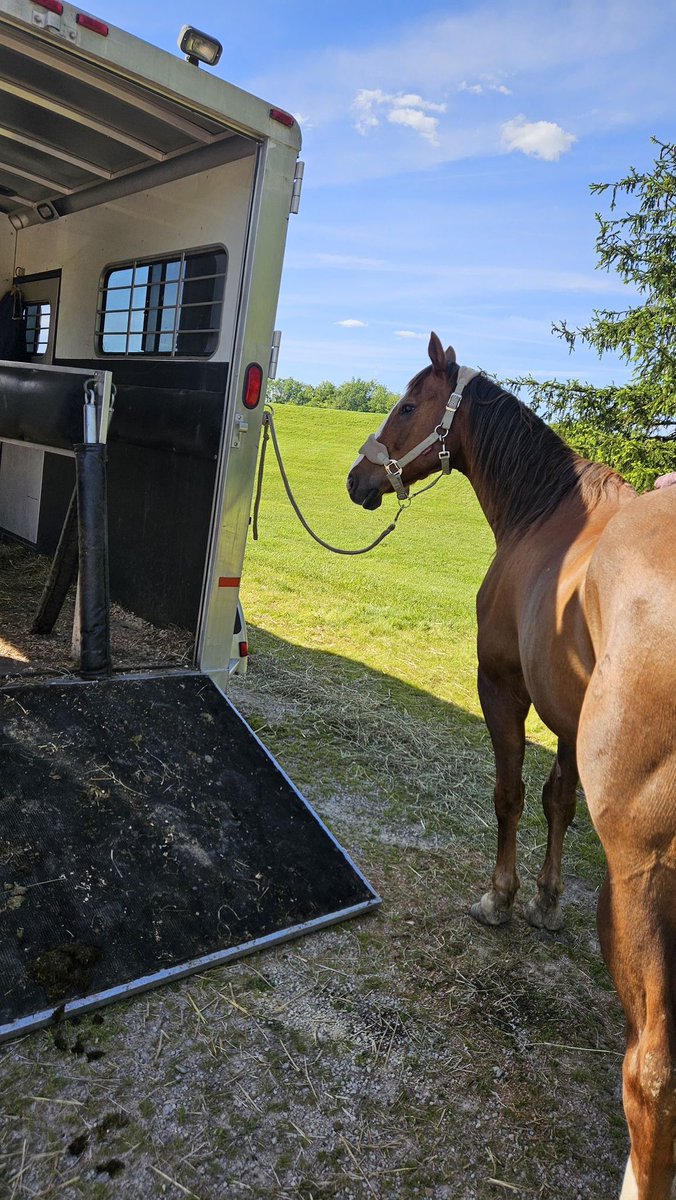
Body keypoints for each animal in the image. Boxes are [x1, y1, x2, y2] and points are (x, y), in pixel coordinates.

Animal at [346, 333, 676, 1200]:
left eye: (406, 404)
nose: (359, 480)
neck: (549, 520)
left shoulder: (503, 687)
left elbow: (510, 794)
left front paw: (500, 897)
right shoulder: (564, 714)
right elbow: (558, 800)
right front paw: (548, 902)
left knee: (652, 1069)